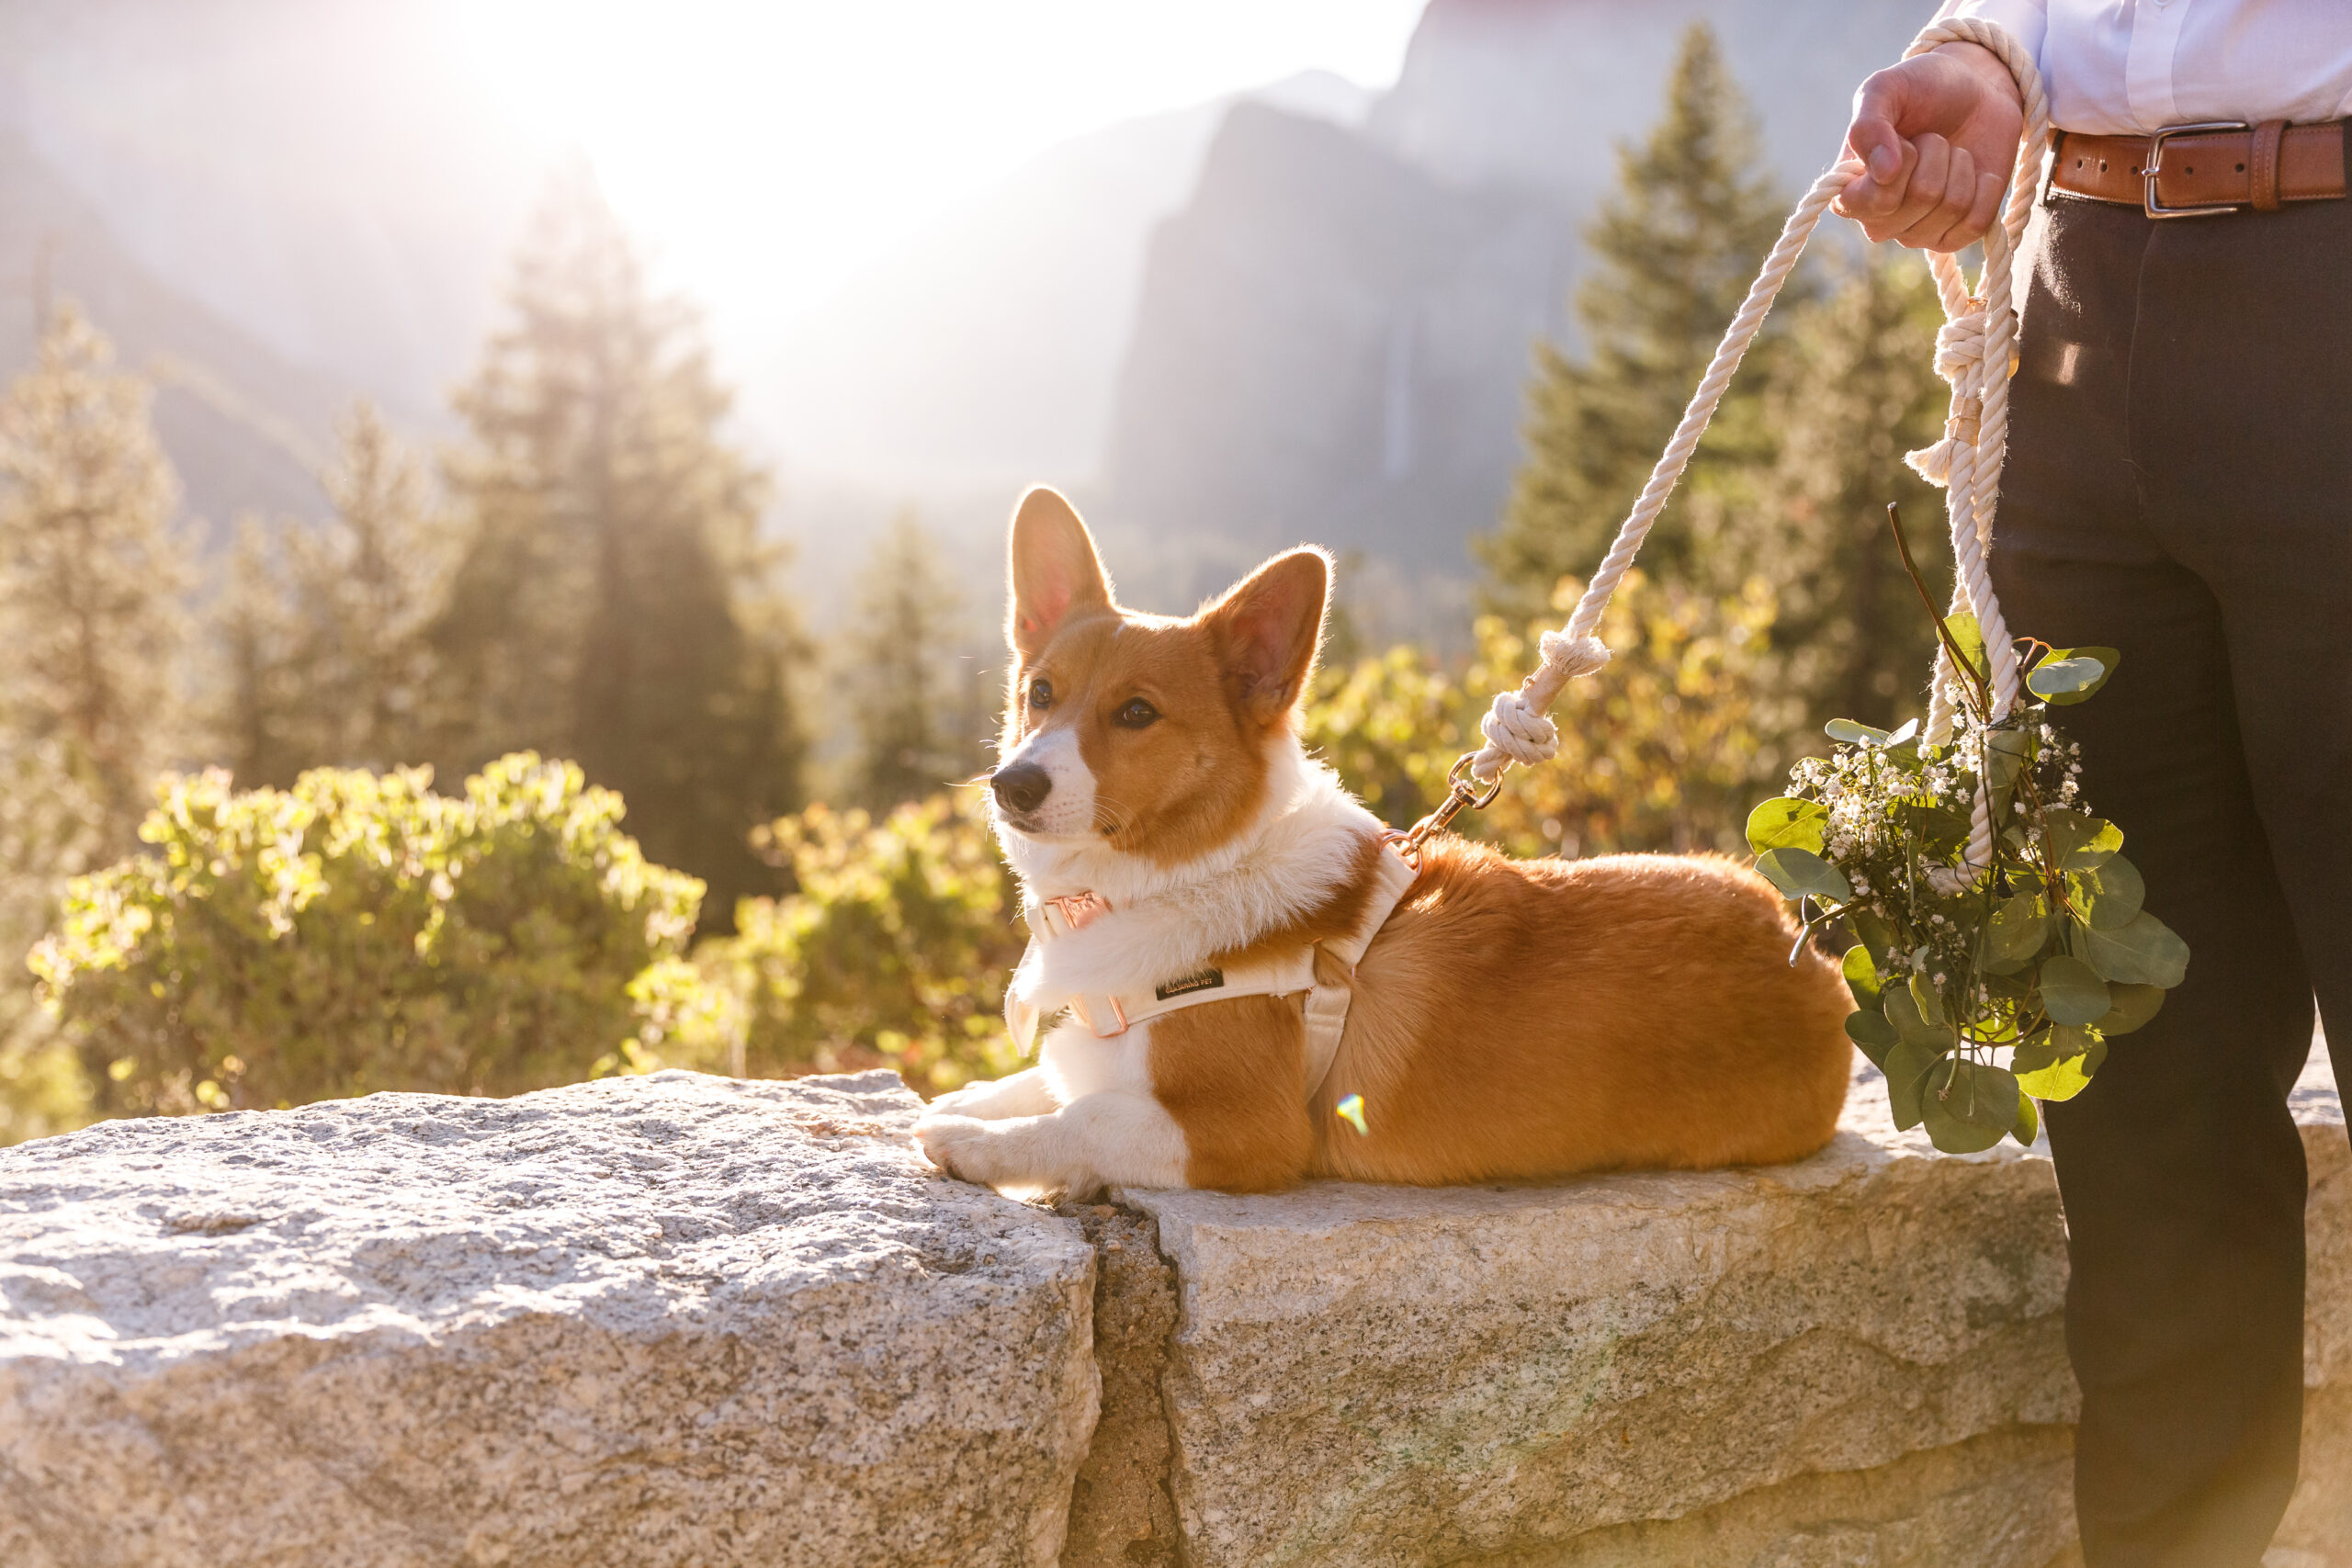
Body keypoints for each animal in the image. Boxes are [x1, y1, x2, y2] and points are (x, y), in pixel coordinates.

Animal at [917, 491, 1853, 1203]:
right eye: (1040, 693)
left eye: (1138, 712)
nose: (1012, 785)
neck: (1179, 873)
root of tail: (1807, 950)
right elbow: (1048, 1080)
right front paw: (965, 1099)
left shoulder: (1237, 1131)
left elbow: (1078, 1120)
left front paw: (968, 1139)